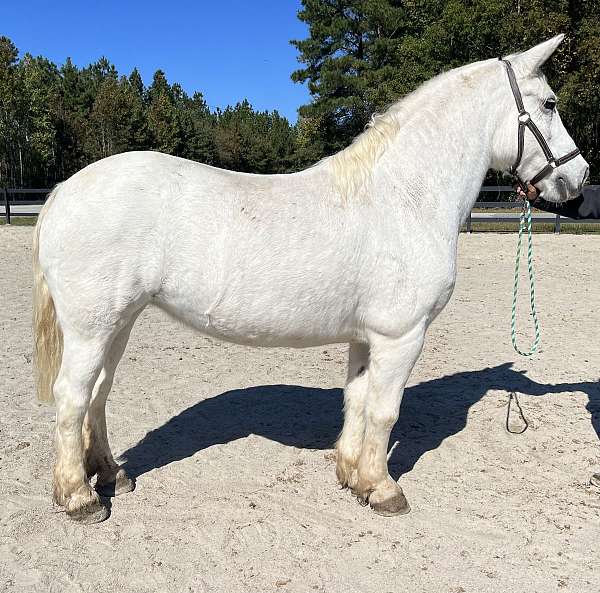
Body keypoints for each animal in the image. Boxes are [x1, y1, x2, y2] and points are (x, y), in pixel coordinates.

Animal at [31, 35, 584, 524]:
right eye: (550, 103)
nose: (576, 180)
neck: (404, 197)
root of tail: (63, 190)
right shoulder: (402, 336)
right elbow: (385, 412)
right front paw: (384, 489)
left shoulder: (367, 338)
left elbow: (356, 402)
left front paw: (353, 477)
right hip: (91, 328)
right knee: (72, 397)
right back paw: (79, 498)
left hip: (117, 324)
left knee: (98, 395)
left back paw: (111, 475)